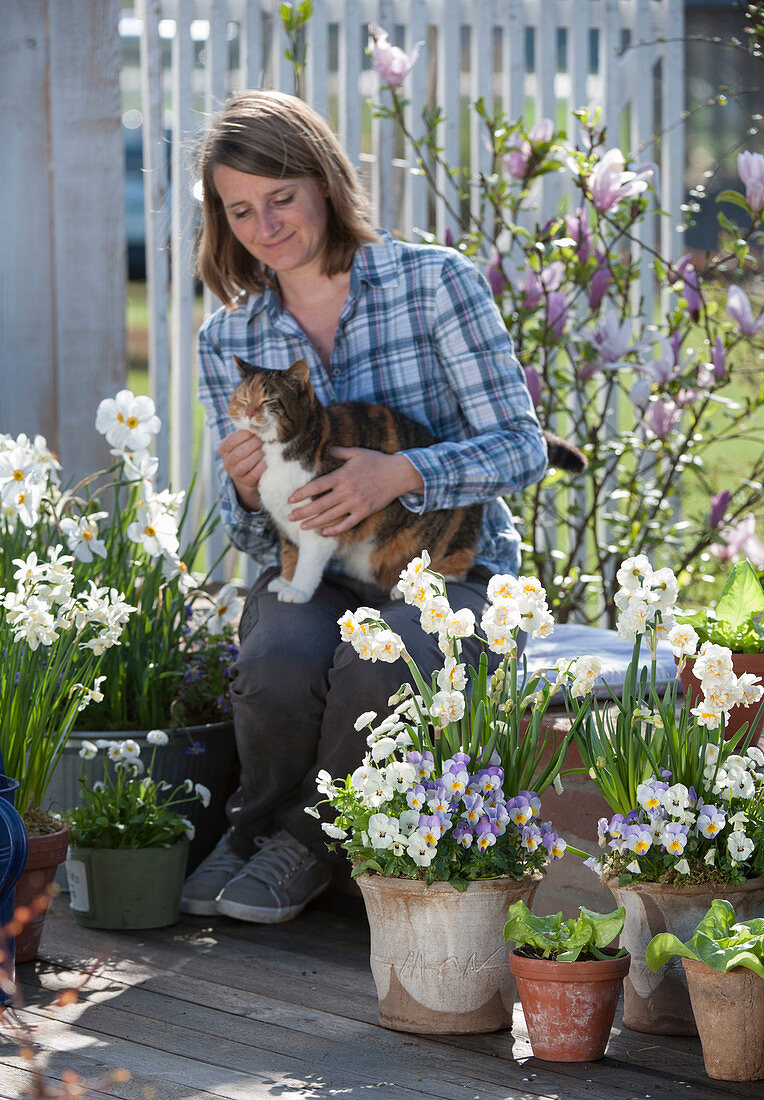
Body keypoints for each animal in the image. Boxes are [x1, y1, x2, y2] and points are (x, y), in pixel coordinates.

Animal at [227, 356, 584, 602]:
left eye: (270, 401)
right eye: (243, 398)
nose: (249, 413)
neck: (278, 454)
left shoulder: (320, 523)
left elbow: (308, 561)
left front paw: (298, 591)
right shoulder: (285, 524)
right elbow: (290, 554)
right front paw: (286, 581)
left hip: (450, 532)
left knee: (457, 566)